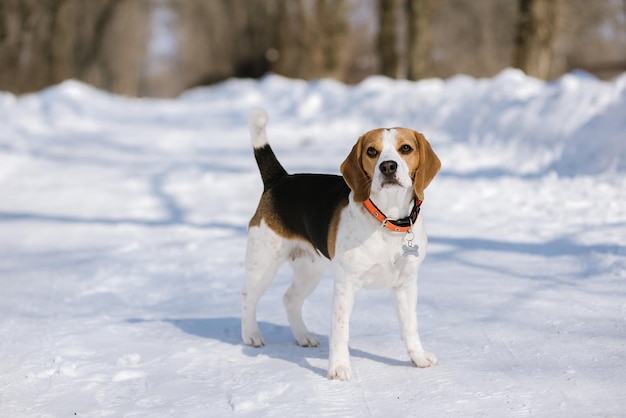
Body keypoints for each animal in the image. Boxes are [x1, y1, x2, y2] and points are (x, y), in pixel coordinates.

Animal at [240, 109, 438, 380]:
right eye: (372, 151)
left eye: (406, 148)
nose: (388, 166)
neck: (386, 219)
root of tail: (279, 179)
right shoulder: (346, 285)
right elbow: (340, 331)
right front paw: (339, 368)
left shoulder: (406, 283)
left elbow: (410, 326)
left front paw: (418, 358)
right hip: (263, 264)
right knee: (248, 298)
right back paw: (251, 335)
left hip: (309, 270)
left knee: (289, 298)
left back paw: (303, 336)